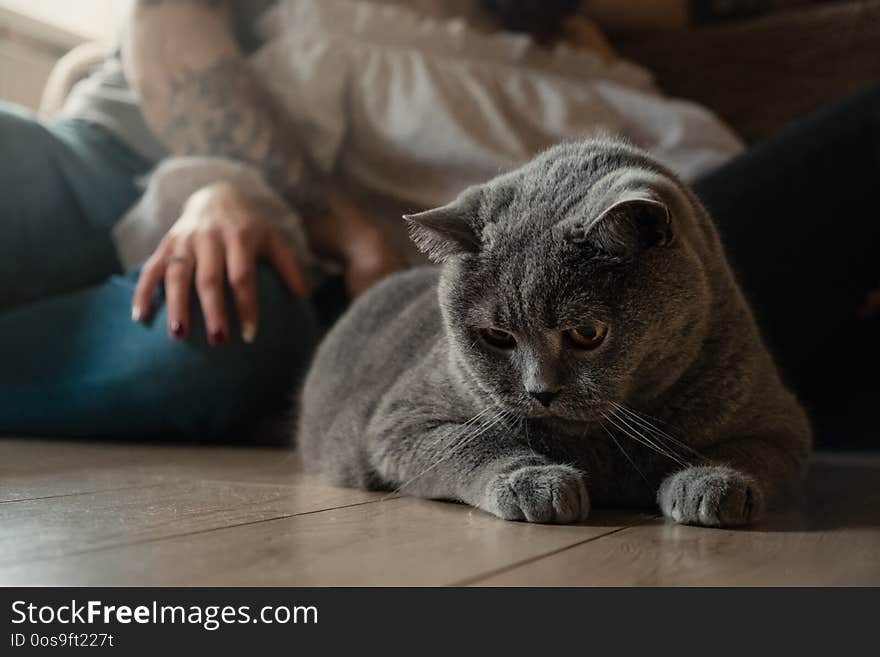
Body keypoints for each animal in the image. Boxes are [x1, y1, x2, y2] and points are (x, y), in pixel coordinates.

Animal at [296, 140, 812, 528]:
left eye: (586, 333)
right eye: (496, 336)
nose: (539, 391)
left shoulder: (783, 425)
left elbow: (749, 451)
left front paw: (711, 484)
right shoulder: (402, 419)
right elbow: (473, 443)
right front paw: (537, 483)